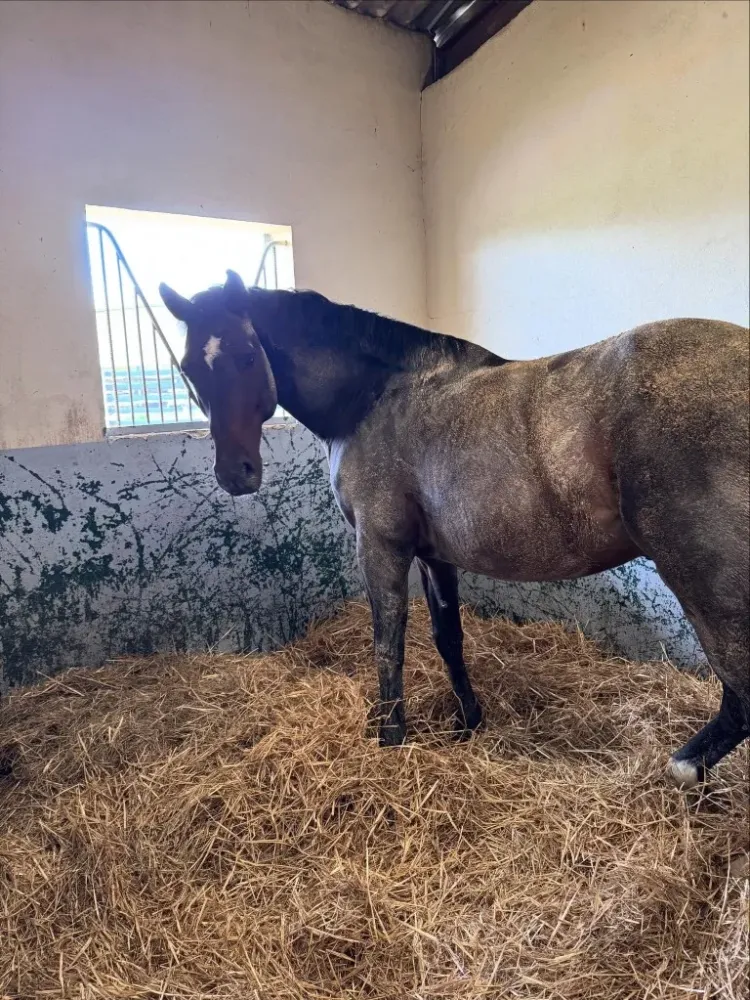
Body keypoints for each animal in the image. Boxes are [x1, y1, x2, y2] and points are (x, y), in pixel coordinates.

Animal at [159, 271, 750, 788]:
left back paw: (684, 768)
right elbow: (449, 638)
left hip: (705, 579)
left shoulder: (381, 546)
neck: (375, 397)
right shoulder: (433, 553)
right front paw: (468, 722)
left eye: (245, 356)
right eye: (188, 367)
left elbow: (388, 642)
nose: (235, 474)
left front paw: (391, 737)